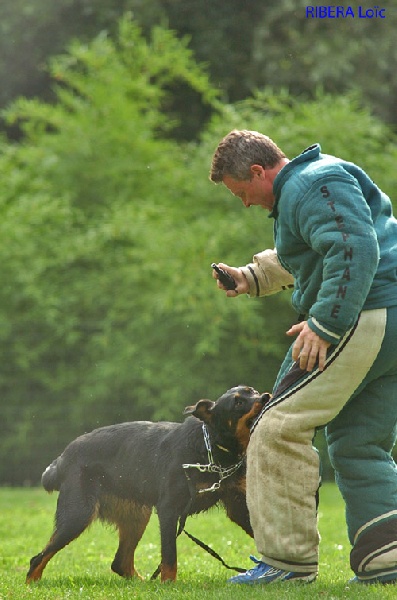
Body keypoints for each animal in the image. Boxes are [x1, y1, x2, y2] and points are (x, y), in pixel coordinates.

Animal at [26, 386, 270, 584]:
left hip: (136, 516)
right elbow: (169, 556)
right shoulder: (169, 510)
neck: (210, 447)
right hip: (78, 515)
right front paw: (169, 586)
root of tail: (62, 458)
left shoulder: (237, 505)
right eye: (237, 403)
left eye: (252, 391)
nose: (266, 396)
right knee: (37, 559)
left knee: (120, 563)